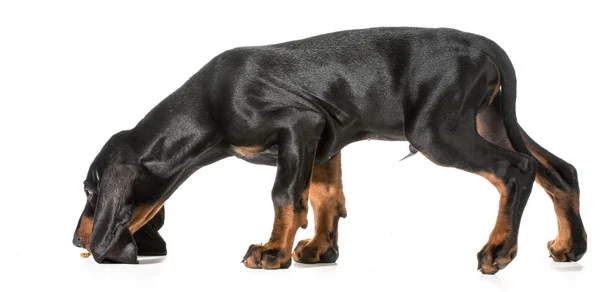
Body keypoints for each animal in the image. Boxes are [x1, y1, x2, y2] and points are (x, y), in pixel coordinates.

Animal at [72, 26, 588, 274]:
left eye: (90, 192)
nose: (78, 242)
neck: (209, 104)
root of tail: (485, 45)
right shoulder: (324, 140)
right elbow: (323, 198)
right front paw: (321, 250)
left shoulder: (298, 125)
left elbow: (285, 195)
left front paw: (272, 253)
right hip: (489, 120)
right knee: (559, 170)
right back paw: (570, 246)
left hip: (439, 132)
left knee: (516, 169)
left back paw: (499, 250)